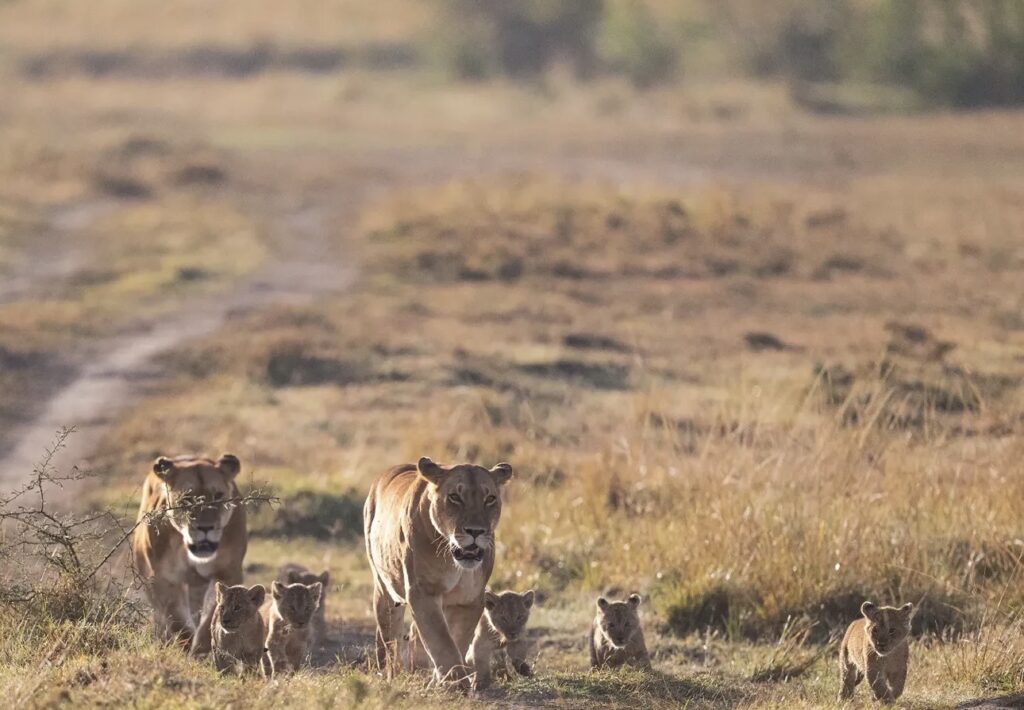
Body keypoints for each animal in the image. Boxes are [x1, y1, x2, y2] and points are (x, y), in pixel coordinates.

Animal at [130, 454, 248, 656]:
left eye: (218, 496)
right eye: (186, 499)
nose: (206, 527)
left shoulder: (228, 573)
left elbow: (212, 616)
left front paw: (202, 649)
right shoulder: (161, 578)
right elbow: (177, 620)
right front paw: (186, 647)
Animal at [363, 456, 513, 686]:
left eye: (490, 498)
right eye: (454, 497)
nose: (476, 531)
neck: (453, 560)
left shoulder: (469, 599)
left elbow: (456, 640)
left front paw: (445, 680)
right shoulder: (423, 592)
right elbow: (441, 641)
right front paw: (455, 682)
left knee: (415, 637)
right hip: (385, 589)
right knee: (390, 638)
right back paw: (391, 674)